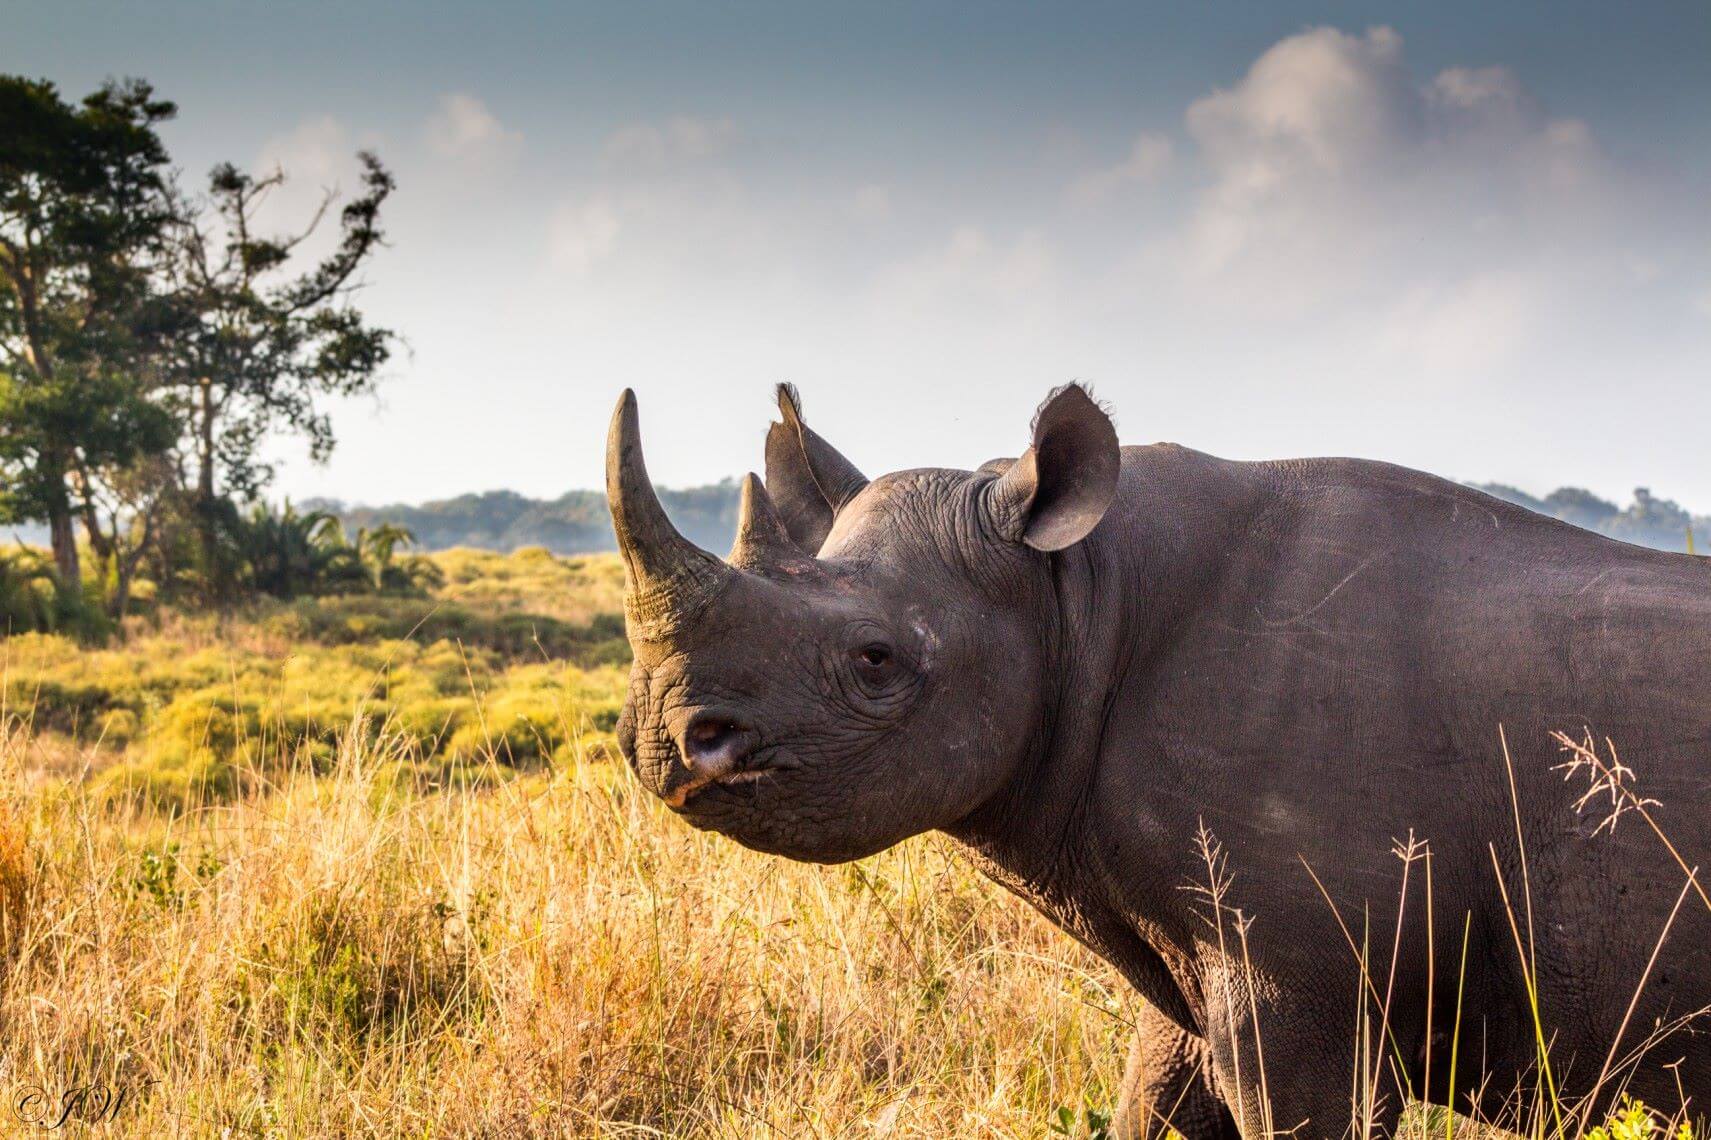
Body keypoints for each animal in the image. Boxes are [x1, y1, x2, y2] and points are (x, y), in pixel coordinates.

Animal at [608, 383, 1710, 1138]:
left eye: (875, 661)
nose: (661, 742)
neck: (1076, 593)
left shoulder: (1305, 982)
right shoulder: (1199, 957)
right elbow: (1152, 1104)